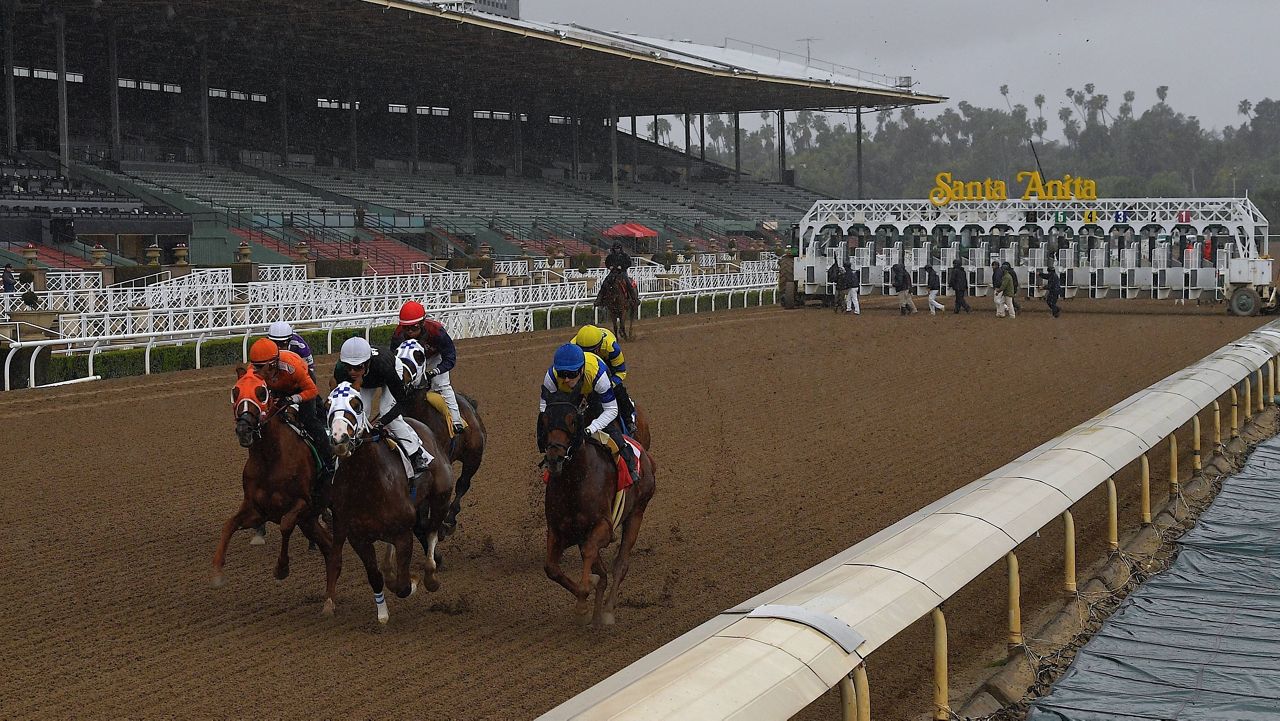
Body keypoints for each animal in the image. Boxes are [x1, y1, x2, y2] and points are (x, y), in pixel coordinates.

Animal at [211, 368, 332, 589]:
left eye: (262, 392)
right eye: (235, 391)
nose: (244, 429)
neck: (271, 458)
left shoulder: (302, 502)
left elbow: (286, 525)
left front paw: (282, 568)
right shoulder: (257, 509)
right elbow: (229, 524)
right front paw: (216, 571)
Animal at [322, 381, 453, 622]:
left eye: (356, 404)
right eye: (327, 405)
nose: (339, 439)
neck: (367, 482)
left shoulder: (403, 534)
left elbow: (403, 585)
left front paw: (413, 582)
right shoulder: (358, 538)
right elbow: (375, 576)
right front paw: (382, 614)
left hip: (442, 495)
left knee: (432, 532)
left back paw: (430, 576)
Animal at [542, 389, 660, 627]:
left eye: (572, 420)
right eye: (546, 419)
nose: (555, 457)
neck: (575, 480)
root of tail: (645, 455)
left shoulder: (603, 527)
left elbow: (591, 558)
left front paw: (583, 603)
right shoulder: (559, 530)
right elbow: (552, 568)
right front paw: (587, 598)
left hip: (637, 512)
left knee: (620, 564)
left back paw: (606, 610)